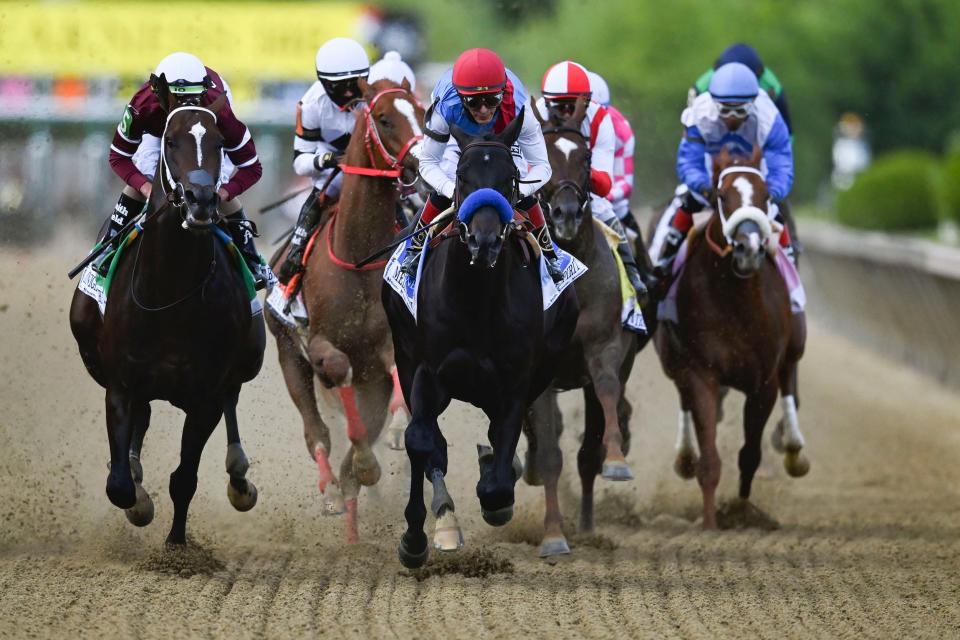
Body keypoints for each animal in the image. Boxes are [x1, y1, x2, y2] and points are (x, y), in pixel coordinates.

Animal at [68, 94, 264, 544]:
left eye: (219, 142)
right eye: (171, 141)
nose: (202, 200)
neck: (172, 294)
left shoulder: (205, 396)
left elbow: (184, 478)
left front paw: (176, 546)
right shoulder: (120, 385)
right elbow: (119, 484)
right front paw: (139, 501)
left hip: (248, 358)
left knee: (232, 400)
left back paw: (239, 477)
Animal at [266, 77, 424, 544]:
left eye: (422, 113)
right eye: (385, 119)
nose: (420, 161)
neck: (358, 256)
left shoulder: (389, 345)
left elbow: (396, 379)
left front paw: (393, 433)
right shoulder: (320, 343)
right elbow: (339, 370)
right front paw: (361, 462)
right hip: (289, 357)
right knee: (316, 431)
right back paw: (333, 488)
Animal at [382, 111, 576, 568]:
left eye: (510, 178)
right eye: (462, 175)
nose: (483, 239)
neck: (475, 300)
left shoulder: (515, 383)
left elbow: (498, 478)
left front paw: (496, 495)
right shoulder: (427, 370)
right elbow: (421, 442)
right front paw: (416, 538)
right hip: (406, 356)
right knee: (433, 443)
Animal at [520, 99, 640, 556]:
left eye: (586, 158)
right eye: (542, 157)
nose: (567, 214)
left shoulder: (603, 345)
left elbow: (606, 392)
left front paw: (617, 461)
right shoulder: (540, 372)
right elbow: (550, 453)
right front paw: (554, 535)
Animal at [652, 146, 808, 528]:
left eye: (766, 196)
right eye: (722, 196)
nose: (748, 248)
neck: (735, 302)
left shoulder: (763, 381)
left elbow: (750, 454)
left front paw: (741, 511)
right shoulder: (701, 373)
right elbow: (709, 458)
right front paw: (710, 523)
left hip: (794, 344)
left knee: (790, 380)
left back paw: (793, 447)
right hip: (674, 361)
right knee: (684, 401)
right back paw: (685, 456)